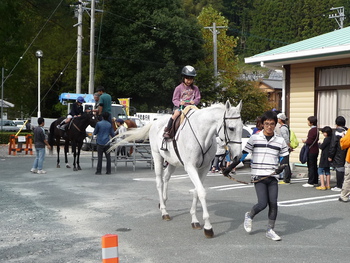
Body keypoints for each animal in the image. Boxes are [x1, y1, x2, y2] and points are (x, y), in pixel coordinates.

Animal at [110, 101, 242, 239]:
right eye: (231, 128)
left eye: (242, 127)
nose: (237, 157)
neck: (201, 135)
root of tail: (155, 123)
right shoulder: (190, 167)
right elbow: (201, 192)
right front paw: (208, 227)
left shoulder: (204, 168)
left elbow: (196, 191)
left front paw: (194, 220)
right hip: (157, 156)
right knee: (159, 182)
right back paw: (164, 212)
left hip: (172, 161)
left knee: (166, 177)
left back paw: (163, 201)